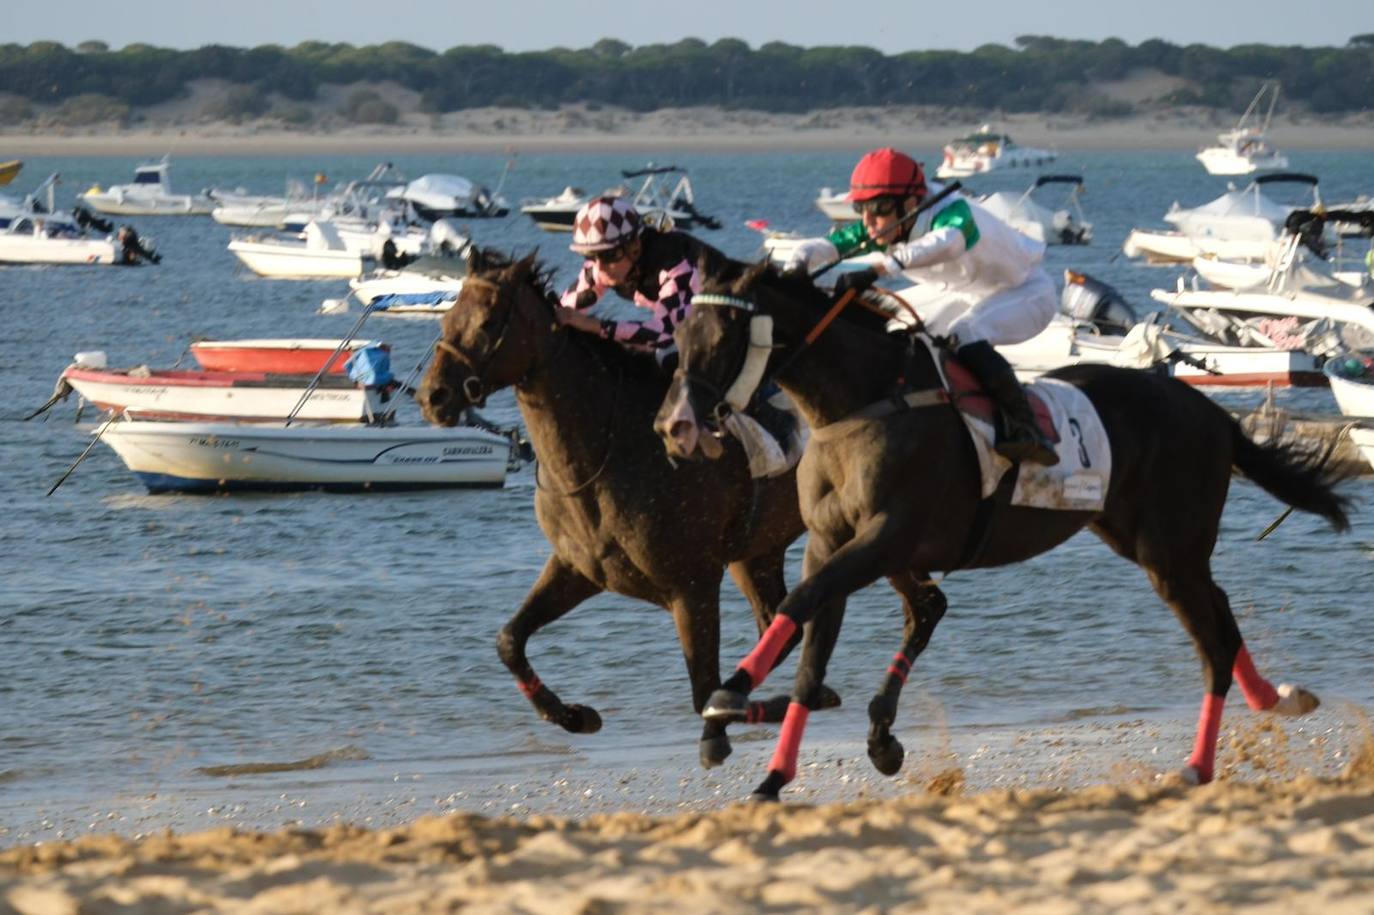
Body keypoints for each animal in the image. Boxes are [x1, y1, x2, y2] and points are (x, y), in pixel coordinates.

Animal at [417, 247, 824, 763]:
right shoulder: (578, 567)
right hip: (755, 554)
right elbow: (509, 640)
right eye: (447, 317)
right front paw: (573, 715)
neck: (606, 452)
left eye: (489, 322)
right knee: (777, 623)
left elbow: (704, 691)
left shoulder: (691, 585)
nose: (433, 396)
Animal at [654, 259, 1352, 796]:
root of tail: (1210, 412)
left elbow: (798, 607)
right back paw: (1277, 699)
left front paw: (726, 700)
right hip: (1148, 542)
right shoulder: (831, 543)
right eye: (679, 333)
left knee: (1212, 645)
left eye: (725, 332)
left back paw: (1197, 766)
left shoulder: (882, 538)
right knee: (1223, 620)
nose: (675, 424)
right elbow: (809, 648)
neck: (864, 402)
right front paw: (771, 775)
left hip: (1168, 551)